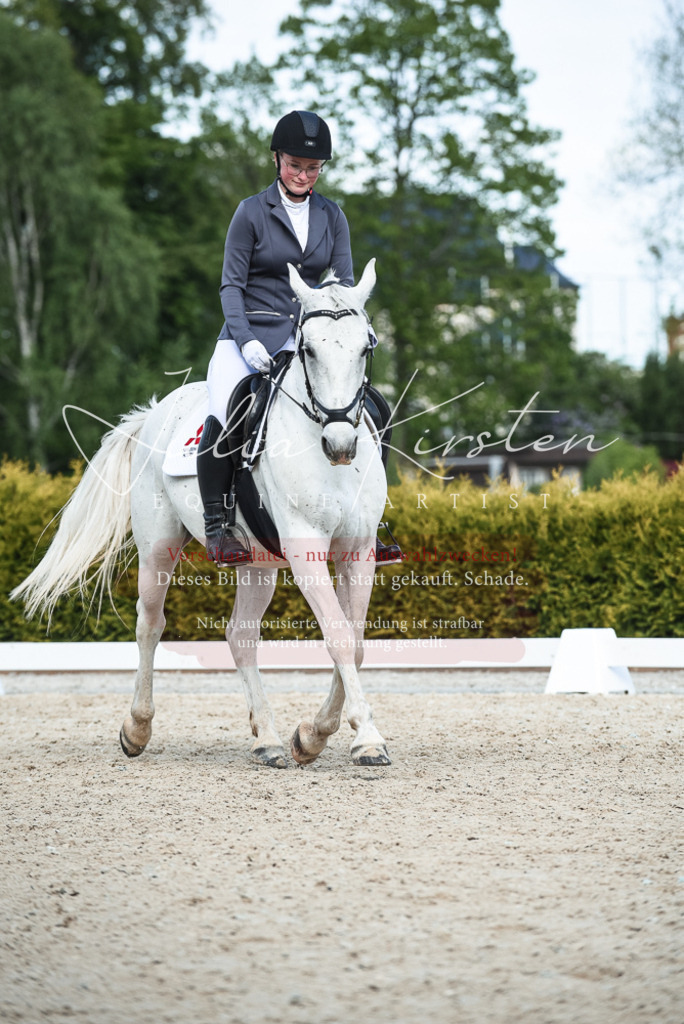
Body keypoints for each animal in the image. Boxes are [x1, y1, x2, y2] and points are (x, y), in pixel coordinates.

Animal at [11, 260, 392, 769]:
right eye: (308, 350)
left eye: (366, 346)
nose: (340, 445)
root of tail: (155, 411)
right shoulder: (305, 545)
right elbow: (337, 635)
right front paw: (365, 738)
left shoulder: (358, 549)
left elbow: (356, 640)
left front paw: (311, 735)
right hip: (158, 546)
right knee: (150, 624)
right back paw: (137, 729)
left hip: (257, 562)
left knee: (240, 636)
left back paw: (268, 738)